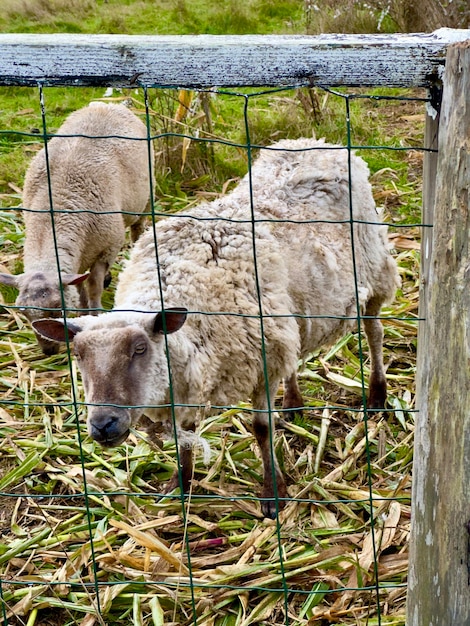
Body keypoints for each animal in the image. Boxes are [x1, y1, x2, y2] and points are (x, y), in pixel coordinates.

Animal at [0, 104, 155, 354]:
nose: (48, 350)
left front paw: (94, 311)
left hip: (146, 196)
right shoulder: (80, 256)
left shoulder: (107, 248)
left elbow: (93, 287)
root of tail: (108, 105)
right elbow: (80, 284)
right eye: (23, 313)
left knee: (138, 228)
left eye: (57, 306)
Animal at [32, 138, 400, 516]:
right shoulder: (194, 376)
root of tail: (315, 142)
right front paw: (181, 482)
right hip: (290, 315)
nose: (103, 425)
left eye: (140, 349)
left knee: (374, 333)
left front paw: (273, 494)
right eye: (78, 356)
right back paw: (293, 402)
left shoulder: (261, 363)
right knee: (295, 350)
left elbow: (261, 429)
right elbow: (185, 433)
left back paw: (377, 396)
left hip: (375, 270)